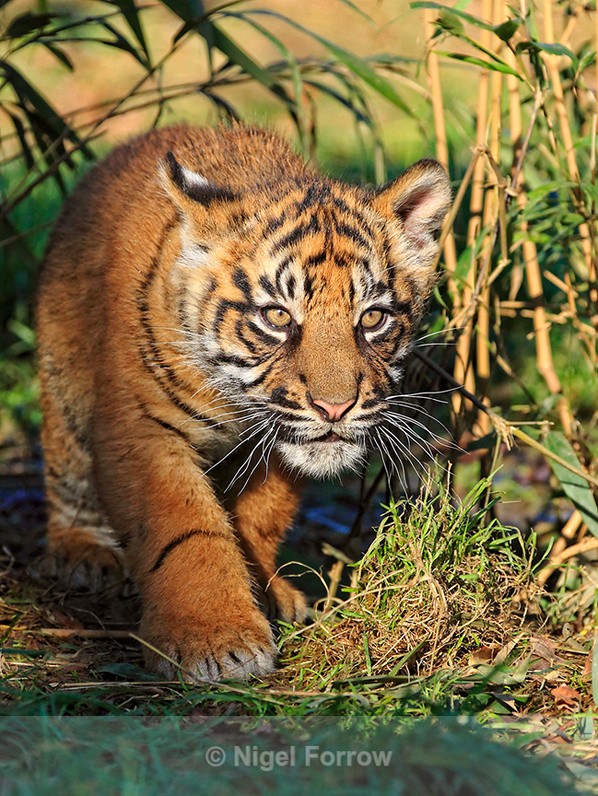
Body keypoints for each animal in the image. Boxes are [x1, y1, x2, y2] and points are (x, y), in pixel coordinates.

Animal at [36, 124, 451, 681]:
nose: (335, 408)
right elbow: (186, 529)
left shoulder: (280, 447)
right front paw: (215, 640)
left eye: (372, 318)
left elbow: (258, 520)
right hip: (66, 388)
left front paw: (267, 594)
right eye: (276, 316)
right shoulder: (143, 432)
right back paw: (84, 555)